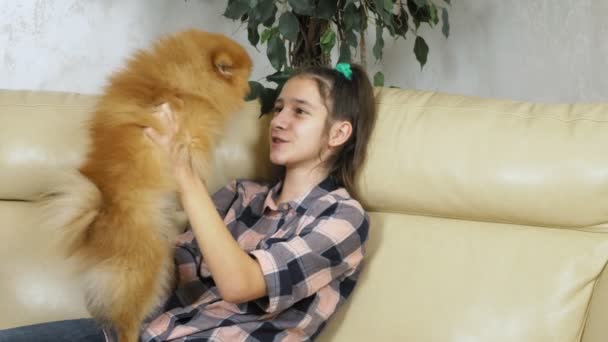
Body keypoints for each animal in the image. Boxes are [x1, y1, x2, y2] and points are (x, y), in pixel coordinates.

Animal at [44, 29, 251, 342]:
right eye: (244, 77)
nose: (252, 89)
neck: (181, 77)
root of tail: (99, 218)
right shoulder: (189, 130)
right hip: (147, 268)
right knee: (127, 318)